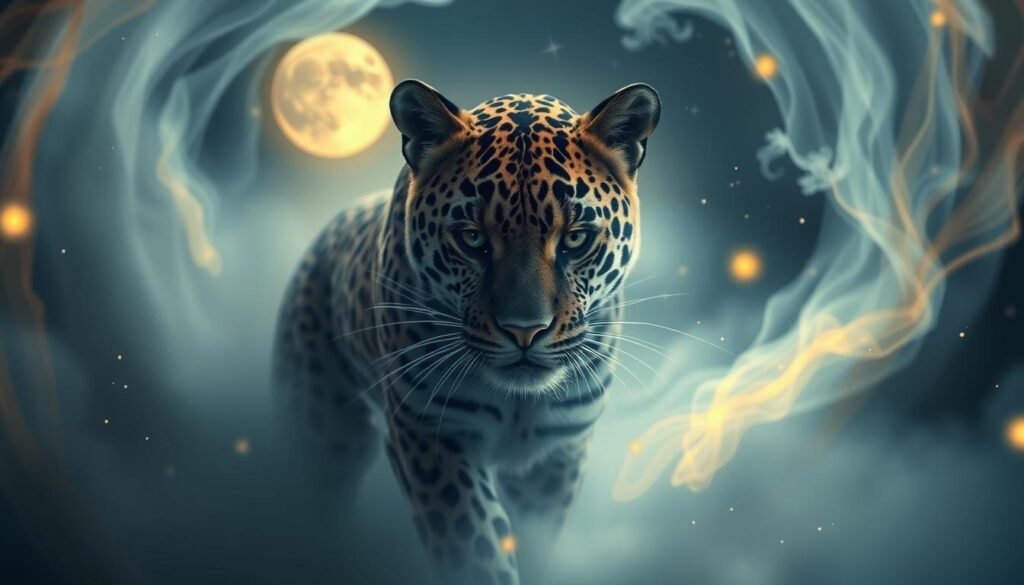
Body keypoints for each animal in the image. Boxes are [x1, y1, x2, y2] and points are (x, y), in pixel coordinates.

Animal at [273, 79, 660, 585]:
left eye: (575, 239)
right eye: (472, 238)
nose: (525, 331)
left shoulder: (555, 455)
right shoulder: (429, 435)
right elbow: (476, 550)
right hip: (321, 434)